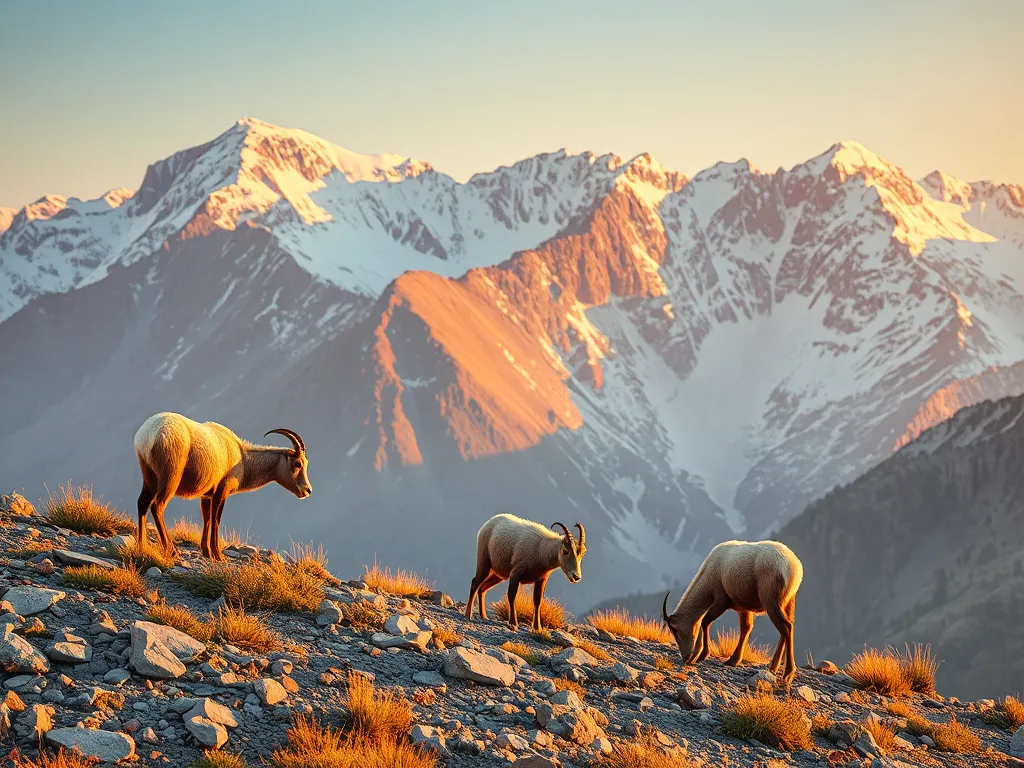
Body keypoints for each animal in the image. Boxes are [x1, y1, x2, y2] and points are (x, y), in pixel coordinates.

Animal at [133, 412, 311, 560]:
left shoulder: (206, 495)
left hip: (149, 478)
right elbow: (216, 519)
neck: (242, 456)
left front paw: (206, 552)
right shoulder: (222, 491)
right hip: (170, 478)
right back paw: (171, 550)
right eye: (298, 463)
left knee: (142, 503)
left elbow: (206, 518)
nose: (307, 490)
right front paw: (218, 554)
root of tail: (149, 434)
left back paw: (142, 545)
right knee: (157, 505)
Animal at [662, 540, 803, 683]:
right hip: (789, 602)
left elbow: (705, 621)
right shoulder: (743, 608)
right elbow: (746, 627)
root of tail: (792, 567)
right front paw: (733, 660)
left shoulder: (721, 600)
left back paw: (787, 673)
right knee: (787, 627)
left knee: (786, 627)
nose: (685, 657)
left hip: (771, 600)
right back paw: (774, 667)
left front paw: (701, 655)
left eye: (675, 631)